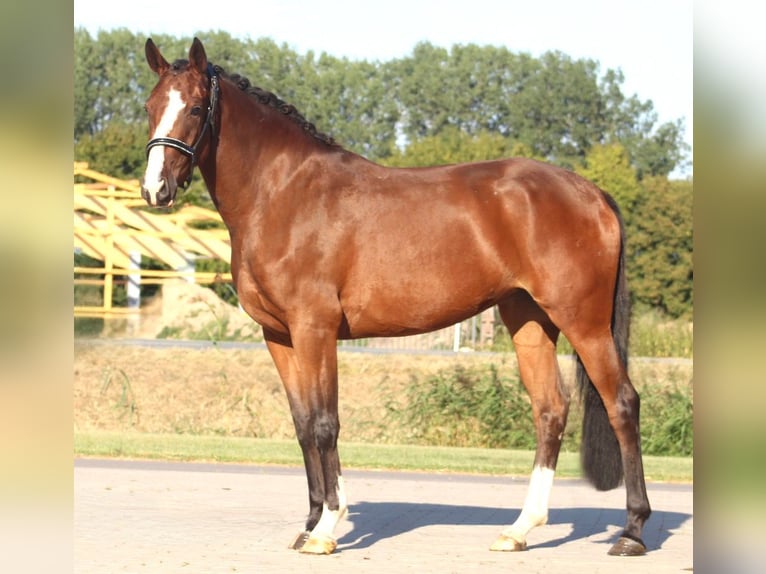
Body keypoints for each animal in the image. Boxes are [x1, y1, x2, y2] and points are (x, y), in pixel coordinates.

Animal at [140, 37, 651, 557]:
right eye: (151, 107)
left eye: (196, 107)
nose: (155, 188)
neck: (283, 194)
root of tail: (593, 193)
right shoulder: (278, 336)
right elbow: (303, 425)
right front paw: (310, 522)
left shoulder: (314, 329)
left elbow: (325, 422)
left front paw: (327, 527)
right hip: (528, 320)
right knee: (550, 409)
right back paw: (520, 529)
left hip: (583, 322)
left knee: (622, 403)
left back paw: (631, 531)